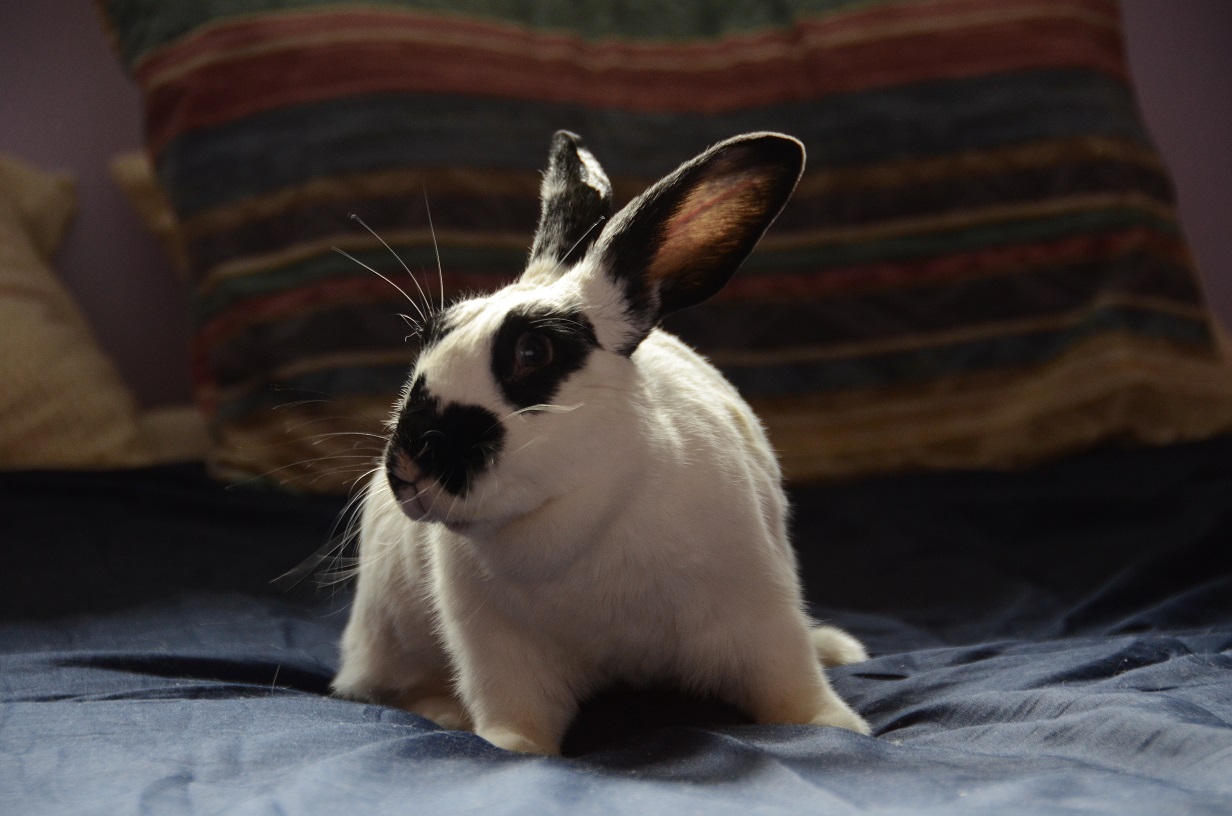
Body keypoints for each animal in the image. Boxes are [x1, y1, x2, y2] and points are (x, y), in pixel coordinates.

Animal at [332, 130, 871, 754]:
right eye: (431, 334)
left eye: (533, 351)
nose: (408, 466)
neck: (579, 513)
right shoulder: (497, 649)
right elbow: (516, 714)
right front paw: (510, 747)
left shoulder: (758, 613)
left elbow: (790, 685)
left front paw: (838, 726)